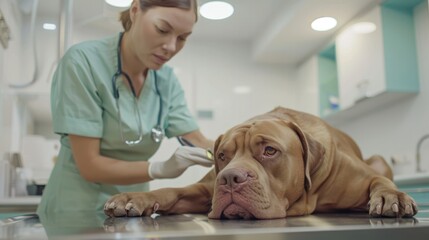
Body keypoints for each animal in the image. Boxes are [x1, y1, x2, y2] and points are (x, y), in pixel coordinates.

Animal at [105, 107, 416, 219]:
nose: (230, 178)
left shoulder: (360, 177)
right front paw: (134, 198)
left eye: (269, 151)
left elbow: (379, 181)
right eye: (222, 156)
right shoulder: (205, 190)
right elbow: (170, 191)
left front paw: (392, 197)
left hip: (378, 160)